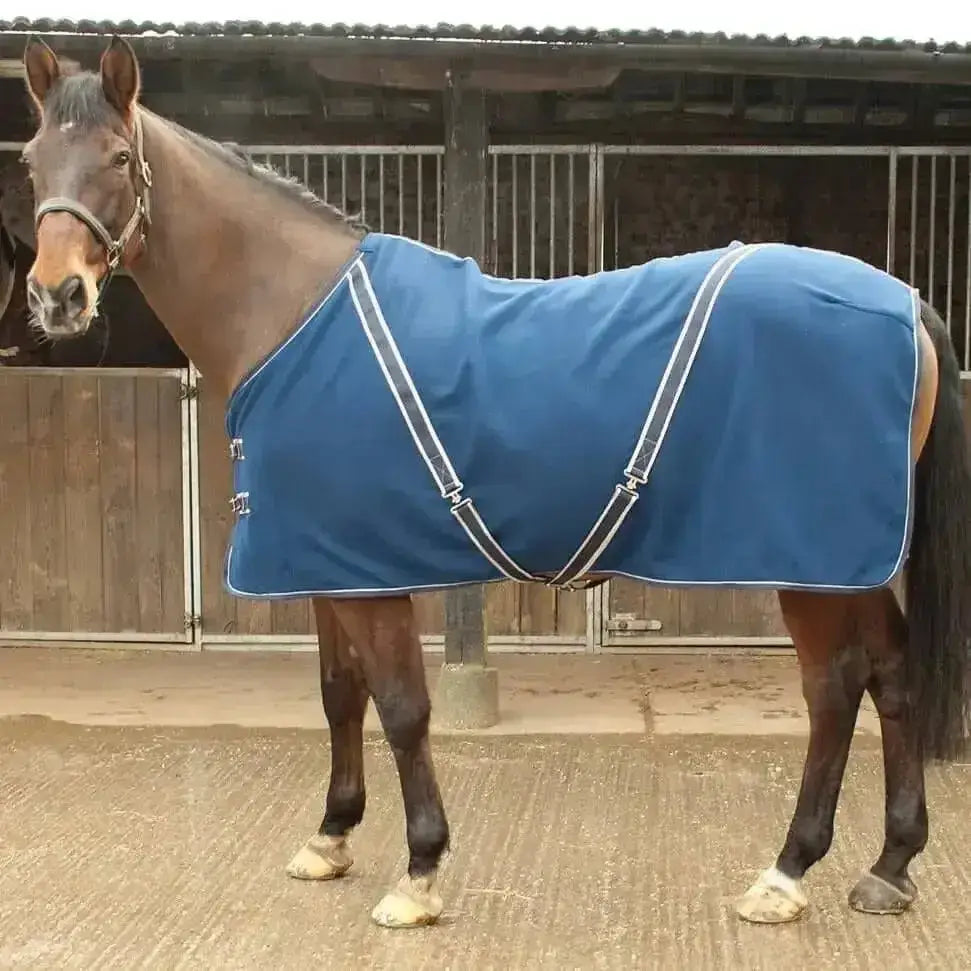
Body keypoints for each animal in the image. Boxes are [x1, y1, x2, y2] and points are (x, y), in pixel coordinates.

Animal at [18, 35, 971, 930]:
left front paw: (418, 873)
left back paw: (786, 872)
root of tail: (904, 301)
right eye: (30, 159)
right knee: (890, 677)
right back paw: (888, 866)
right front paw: (331, 836)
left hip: (810, 565)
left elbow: (402, 707)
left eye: (116, 157)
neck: (293, 315)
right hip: (850, 563)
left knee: (833, 690)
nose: (57, 297)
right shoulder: (324, 564)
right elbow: (338, 695)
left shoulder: (371, 583)